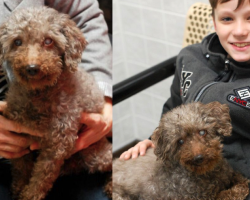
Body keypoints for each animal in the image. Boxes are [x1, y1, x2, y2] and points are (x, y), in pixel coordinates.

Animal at [0, 6, 112, 200]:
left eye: (48, 41)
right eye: (17, 42)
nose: (32, 68)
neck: (38, 94)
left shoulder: (58, 144)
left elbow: (40, 179)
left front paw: (28, 195)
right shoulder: (18, 138)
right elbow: (21, 168)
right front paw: (19, 188)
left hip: (96, 154)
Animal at [114, 101, 250, 200]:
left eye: (202, 132)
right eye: (180, 141)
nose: (199, 158)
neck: (207, 173)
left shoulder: (230, 174)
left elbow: (242, 180)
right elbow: (231, 193)